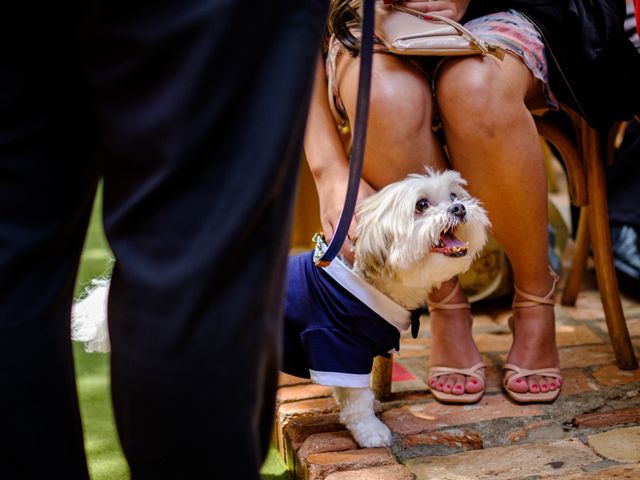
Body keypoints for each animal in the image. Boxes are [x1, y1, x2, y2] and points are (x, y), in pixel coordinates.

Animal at [71, 170, 490, 450]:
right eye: (422, 205)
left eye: (454, 193)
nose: (458, 208)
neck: (372, 282)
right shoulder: (335, 344)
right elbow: (354, 402)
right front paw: (370, 431)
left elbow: (353, 391)